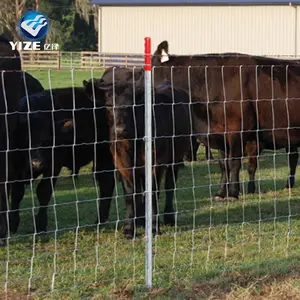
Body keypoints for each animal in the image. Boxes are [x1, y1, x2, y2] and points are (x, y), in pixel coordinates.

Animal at [9, 88, 115, 233]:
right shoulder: (15, 167)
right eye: (25, 139)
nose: (37, 164)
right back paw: (100, 221)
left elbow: (44, 192)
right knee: (106, 184)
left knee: (107, 184)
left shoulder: (54, 165)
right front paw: (13, 224)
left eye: (48, 140)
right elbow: (17, 193)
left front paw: (40, 225)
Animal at [84, 79, 192, 239]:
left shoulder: (156, 163)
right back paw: (141, 220)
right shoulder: (122, 165)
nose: (120, 130)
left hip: (176, 158)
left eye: (132, 105)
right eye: (109, 105)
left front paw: (154, 228)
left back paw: (168, 217)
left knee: (169, 186)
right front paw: (129, 229)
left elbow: (152, 193)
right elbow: (131, 196)